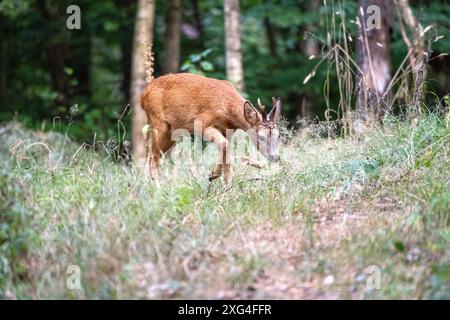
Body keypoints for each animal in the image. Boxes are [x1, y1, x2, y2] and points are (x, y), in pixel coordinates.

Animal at [141, 72, 282, 185]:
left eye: (278, 135)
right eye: (261, 137)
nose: (275, 157)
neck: (228, 110)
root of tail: (143, 95)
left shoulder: (228, 130)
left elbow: (226, 151)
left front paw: (217, 177)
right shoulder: (201, 122)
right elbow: (225, 145)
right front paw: (215, 176)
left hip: (171, 132)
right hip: (159, 123)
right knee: (152, 159)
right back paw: (157, 192)